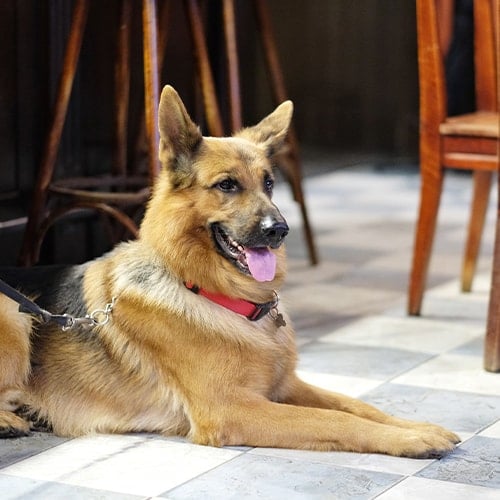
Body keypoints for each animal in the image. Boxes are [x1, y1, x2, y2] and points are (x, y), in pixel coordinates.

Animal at [0, 86, 460, 458]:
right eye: (226, 185)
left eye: (269, 183)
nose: (279, 231)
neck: (211, 293)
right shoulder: (233, 410)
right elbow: (336, 420)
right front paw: (411, 439)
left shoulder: (285, 387)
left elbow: (359, 405)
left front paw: (415, 426)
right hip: (16, 318)